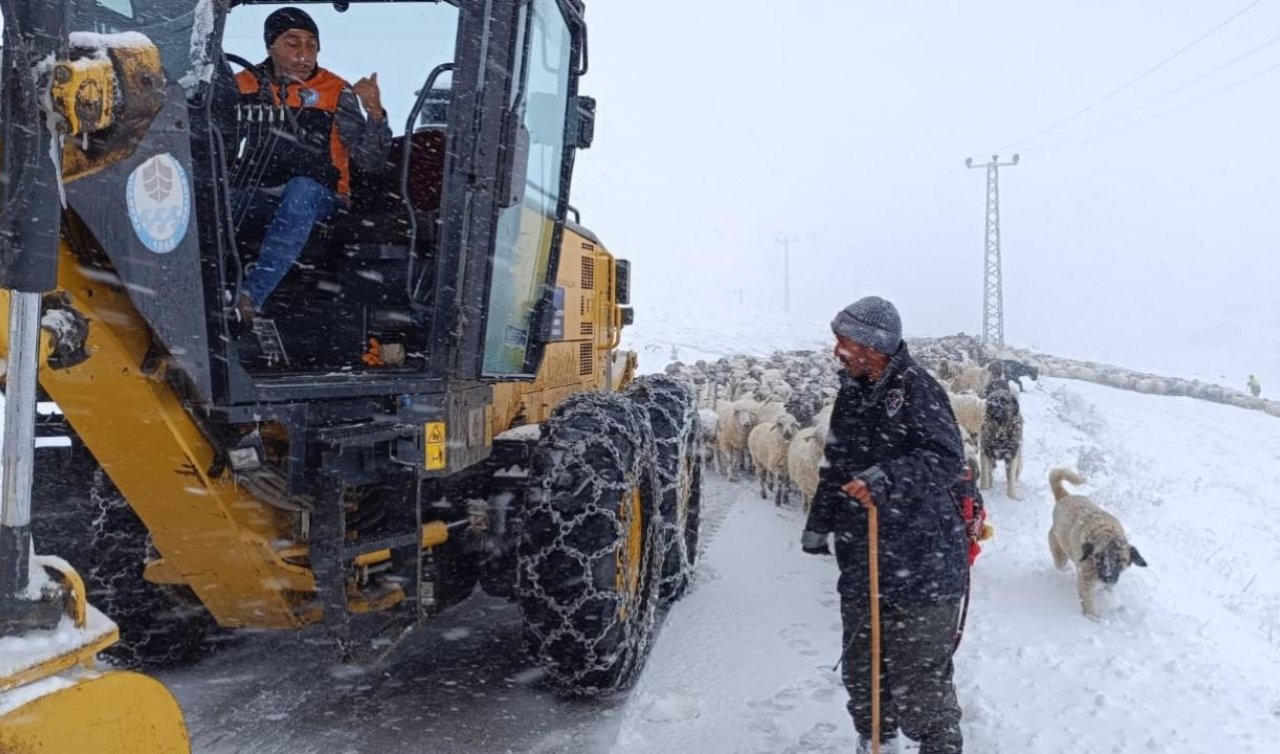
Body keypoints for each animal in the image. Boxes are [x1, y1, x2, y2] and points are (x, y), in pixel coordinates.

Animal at [1049, 471, 1152, 617]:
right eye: (1099, 556)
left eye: (1120, 560)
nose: (1108, 577)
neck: (1107, 533)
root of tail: (1065, 497)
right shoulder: (1086, 581)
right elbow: (1088, 603)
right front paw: (1093, 618)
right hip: (1060, 554)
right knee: (1061, 563)